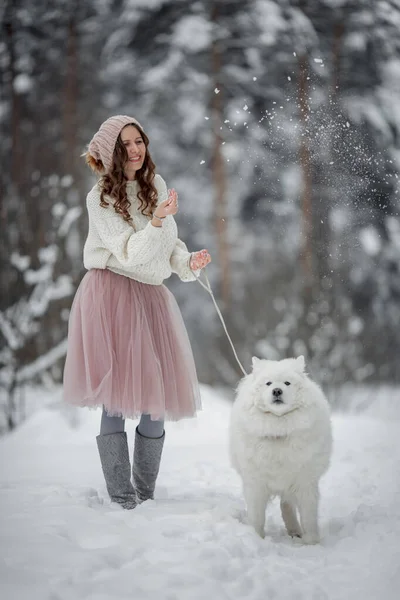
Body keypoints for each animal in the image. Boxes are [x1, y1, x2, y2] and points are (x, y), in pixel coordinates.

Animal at [228, 354, 332, 548]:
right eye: (268, 383)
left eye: (287, 383)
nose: (277, 391)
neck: (278, 428)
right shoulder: (256, 483)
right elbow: (257, 516)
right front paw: (256, 538)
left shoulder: (304, 482)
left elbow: (308, 516)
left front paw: (311, 542)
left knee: (287, 506)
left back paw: (295, 532)